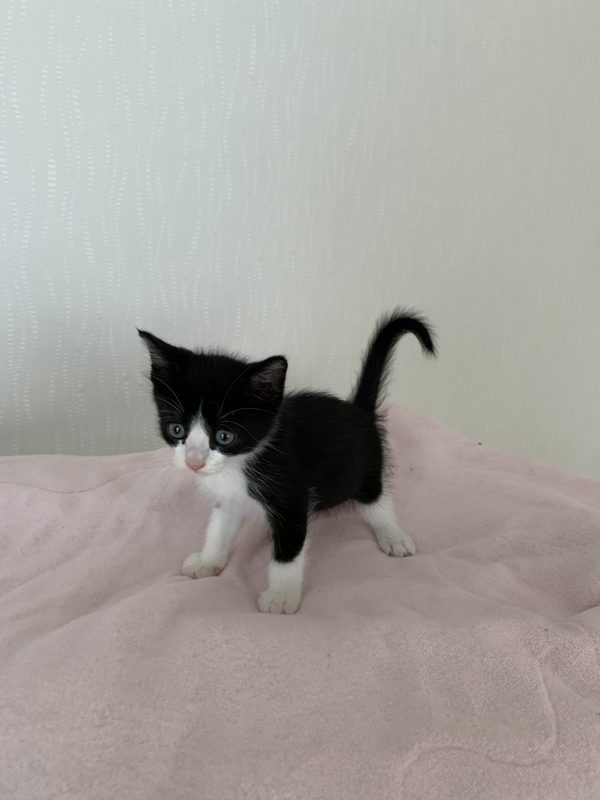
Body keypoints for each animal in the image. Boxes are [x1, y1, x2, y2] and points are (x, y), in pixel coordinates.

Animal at [139, 309, 436, 614]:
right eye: (177, 430)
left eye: (224, 436)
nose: (194, 462)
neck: (240, 463)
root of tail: (359, 409)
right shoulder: (229, 498)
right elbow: (219, 528)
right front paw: (208, 561)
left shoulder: (292, 497)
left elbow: (289, 551)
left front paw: (281, 596)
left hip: (365, 469)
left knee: (377, 500)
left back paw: (393, 536)